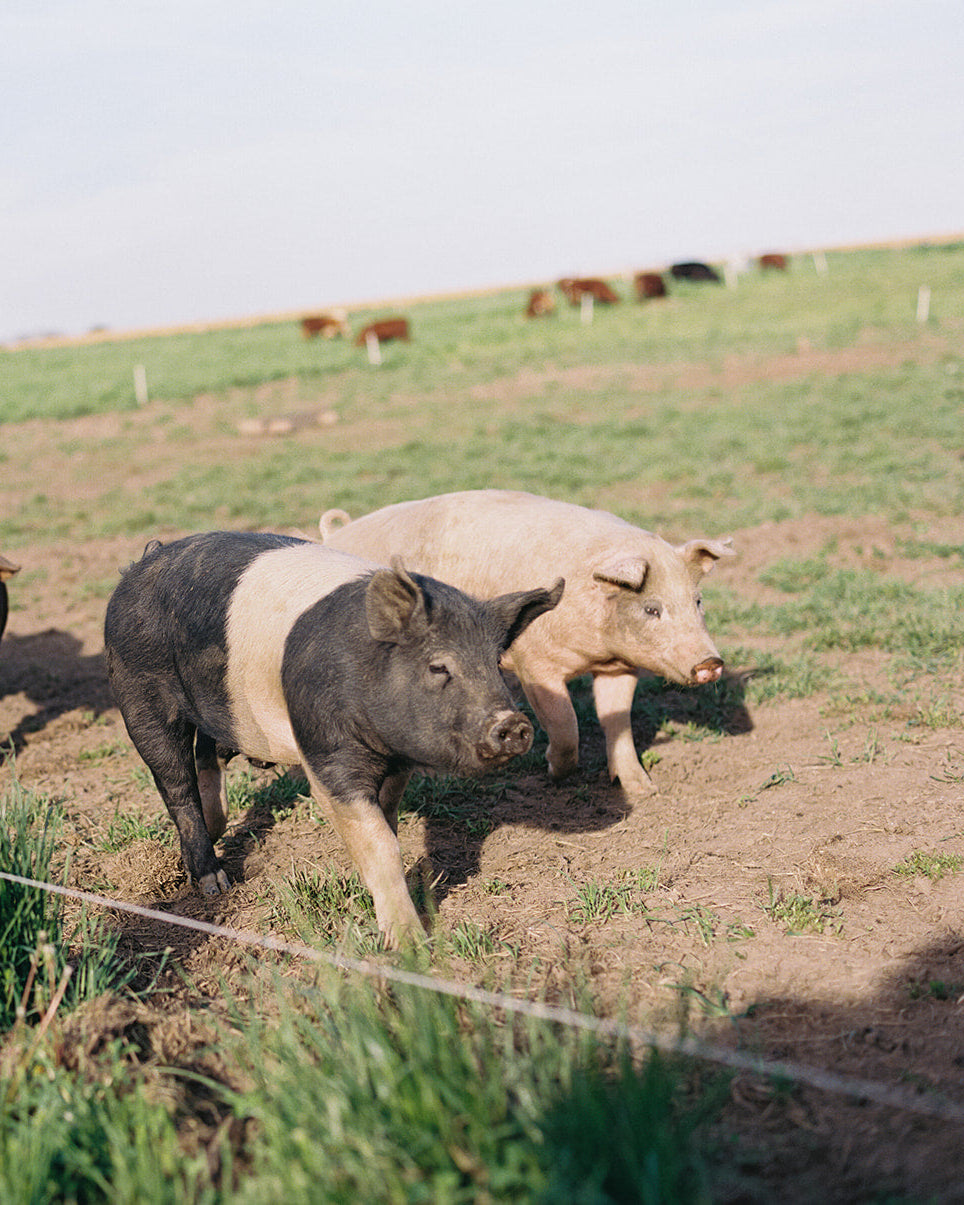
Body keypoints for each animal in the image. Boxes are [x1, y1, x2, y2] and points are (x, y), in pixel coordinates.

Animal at [104, 531, 563, 944]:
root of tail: (143, 563)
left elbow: (388, 821)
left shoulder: (397, 763)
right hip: (138, 692)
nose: (513, 724)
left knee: (208, 753)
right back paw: (214, 883)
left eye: (496, 662)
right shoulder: (326, 752)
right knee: (175, 785)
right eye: (438, 667)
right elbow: (379, 842)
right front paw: (411, 946)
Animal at [320, 491, 734, 801]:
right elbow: (566, 724)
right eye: (652, 608)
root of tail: (334, 536)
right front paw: (555, 772)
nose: (710, 663)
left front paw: (643, 790)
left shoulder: (619, 668)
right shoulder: (536, 665)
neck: (597, 648)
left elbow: (617, 722)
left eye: (697, 601)